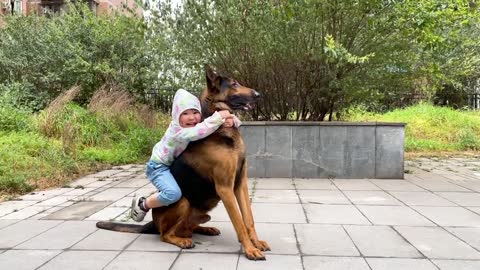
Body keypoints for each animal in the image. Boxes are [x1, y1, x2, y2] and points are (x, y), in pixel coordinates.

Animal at [97, 65, 270, 260]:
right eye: (234, 84)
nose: (259, 94)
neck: (221, 130)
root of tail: (153, 223)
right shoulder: (225, 188)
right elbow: (239, 223)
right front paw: (249, 249)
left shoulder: (240, 184)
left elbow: (248, 219)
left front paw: (256, 243)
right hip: (182, 202)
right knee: (166, 234)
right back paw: (182, 240)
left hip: (202, 211)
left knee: (187, 228)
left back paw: (206, 229)